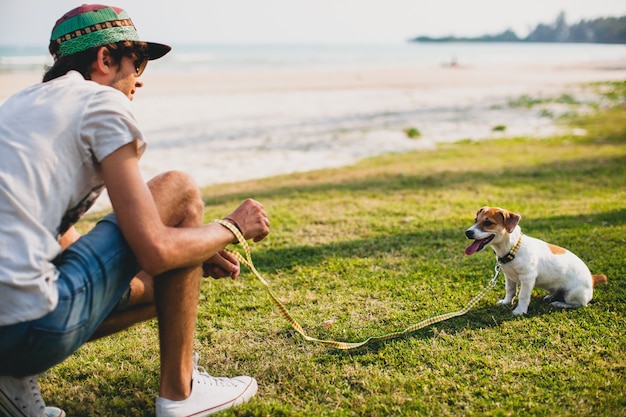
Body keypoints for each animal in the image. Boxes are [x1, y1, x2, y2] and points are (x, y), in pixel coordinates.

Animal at [464, 206, 604, 314]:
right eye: (475, 220)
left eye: (488, 223)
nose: (467, 233)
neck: (512, 249)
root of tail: (592, 279)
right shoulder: (508, 277)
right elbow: (510, 291)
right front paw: (506, 302)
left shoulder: (527, 278)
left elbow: (523, 295)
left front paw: (520, 311)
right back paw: (551, 297)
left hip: (573, 294)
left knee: (579, 304)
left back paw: (559, 303)